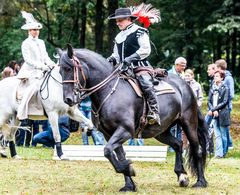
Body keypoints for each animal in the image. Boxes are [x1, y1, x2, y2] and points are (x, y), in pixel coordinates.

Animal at [58, 44, 208, 192]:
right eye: (60, 71)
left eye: (68, 68)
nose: (68, 99)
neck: (108, 90)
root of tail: (185, 85)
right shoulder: (109, 134)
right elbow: (116, 154)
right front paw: (129, 182)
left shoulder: (125, 130)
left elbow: (107, 150)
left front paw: (128, 169)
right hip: (160, 132)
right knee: (178, 144)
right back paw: (182, 176)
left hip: (189, 124)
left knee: (197, 150)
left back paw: (201, 182)